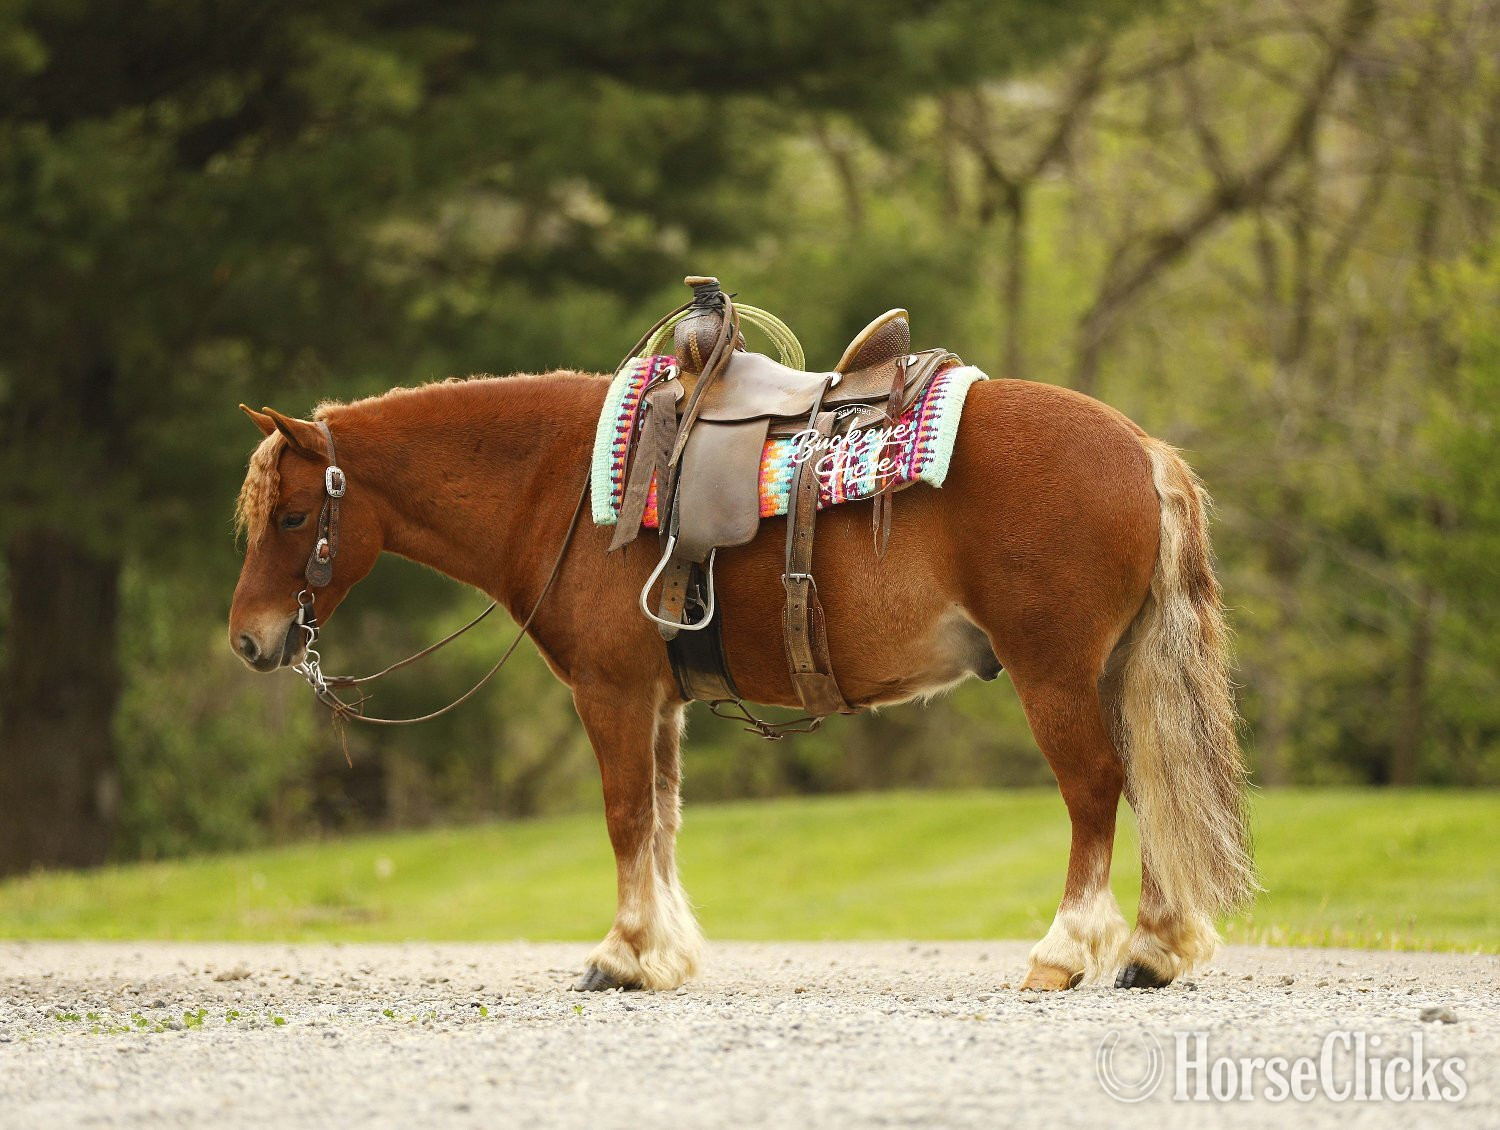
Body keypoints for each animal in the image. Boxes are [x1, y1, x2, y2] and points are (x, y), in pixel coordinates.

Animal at [228, 369, 1256, 992]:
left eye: (291, 516)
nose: (248, 641)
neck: (562, 487)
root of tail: (1142, 450)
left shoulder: (609, 691)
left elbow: (625, 817)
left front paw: (622, 955)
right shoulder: (657, 702)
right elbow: (662, 820)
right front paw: (665, 955)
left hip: (1053, 674)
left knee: (1094, 790)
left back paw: (1065, 950)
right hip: (1113, 673)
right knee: (1150, 787)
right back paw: (1155, 949)